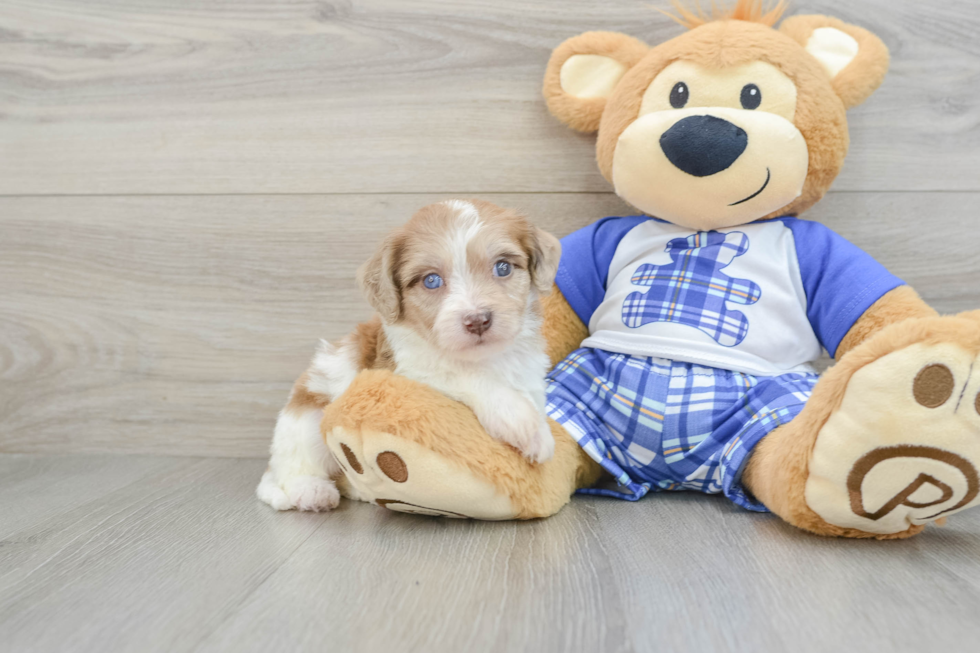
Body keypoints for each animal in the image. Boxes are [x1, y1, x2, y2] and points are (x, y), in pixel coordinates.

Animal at [256, 199, 564, 510]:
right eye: (431, 281)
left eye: (502, 267)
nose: (478, 320)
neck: (486, 358)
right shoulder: (406, 371)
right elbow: (464, 375)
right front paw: (525, 424)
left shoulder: (528, 371)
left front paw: (538, 429)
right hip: (306, 421)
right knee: (294, 469)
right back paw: (312, 491)